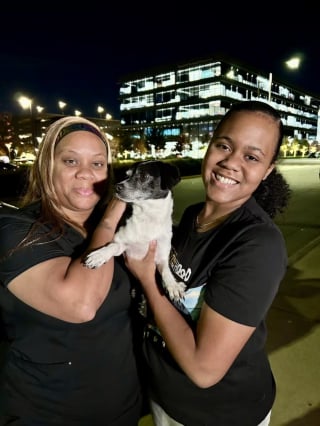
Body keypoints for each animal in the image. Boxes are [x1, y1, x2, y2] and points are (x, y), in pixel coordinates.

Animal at [84, 161, 186, 302]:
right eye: (126, 175)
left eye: (143, 176)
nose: (117, 187)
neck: (147, 218)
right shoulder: (122, 246)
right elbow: (112, 246)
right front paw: (99, 255)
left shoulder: (161, 257)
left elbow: (166, 270)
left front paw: (173, 285)